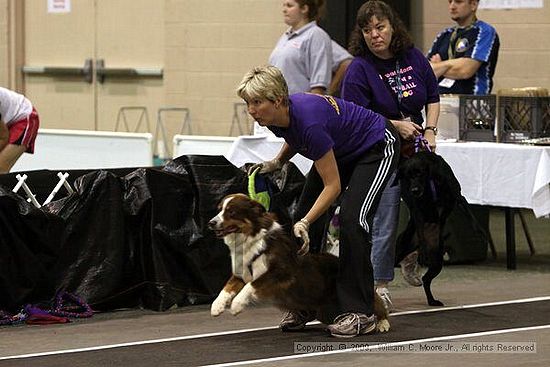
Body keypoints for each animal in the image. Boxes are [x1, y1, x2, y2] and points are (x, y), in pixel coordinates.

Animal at [208, 193, 392, 334]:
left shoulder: (280, 273)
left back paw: (381, 323)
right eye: (219, 209)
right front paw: (216, 307)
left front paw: (236, 306)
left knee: (377, 303)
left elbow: (251, 285)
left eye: (231, 212)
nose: (211, 223)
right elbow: (227, 287)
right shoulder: (241, 272)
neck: (252, 239)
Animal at [396, 151, 466, 306]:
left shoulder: (451, 197)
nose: (415, 190)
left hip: (437, 261)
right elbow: (420, 222)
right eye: (408, 176)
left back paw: (432, 300)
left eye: (420, 173)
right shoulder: (417, 209)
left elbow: (445, 210)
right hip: (401, 248)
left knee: (426, 279)